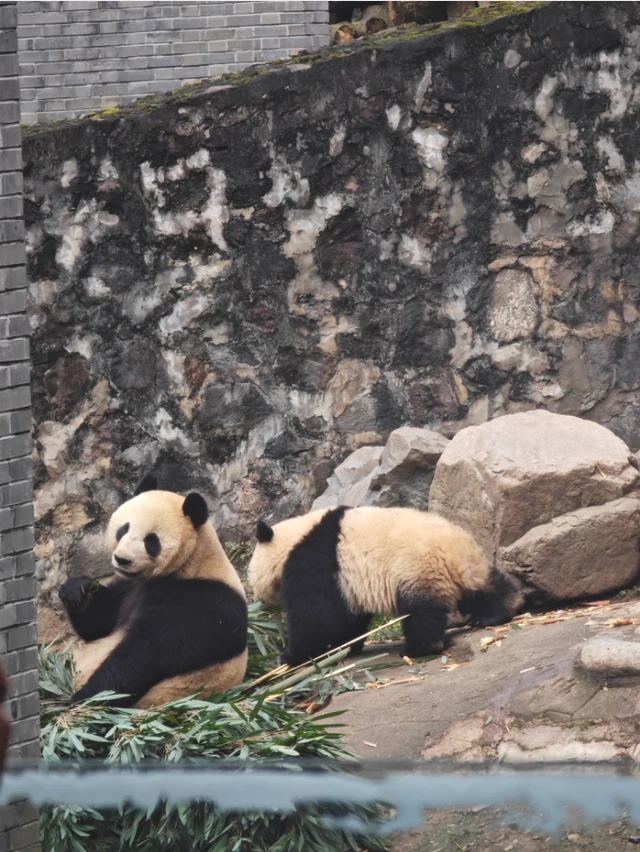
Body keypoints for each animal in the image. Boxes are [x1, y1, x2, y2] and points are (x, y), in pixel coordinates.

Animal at [58, 474, 248, 709]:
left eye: (151, 540)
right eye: (124, 529)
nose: (122, 559)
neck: (190, 563)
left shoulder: (197, 602)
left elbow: (143, 655)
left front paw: (84, 698)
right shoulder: (129, 586)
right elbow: (99, 624)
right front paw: (77, 591)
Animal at [247, 505, 523, 667]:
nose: (258, 602)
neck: (292, 541)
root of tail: (453, 554)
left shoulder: (317, 564)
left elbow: (315, 618)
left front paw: (289, 656)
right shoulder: (346, 582)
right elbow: (348, 618)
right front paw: (346, 646)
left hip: (417, 570)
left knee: (421, 615)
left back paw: (419, 648)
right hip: (470, 567)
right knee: (484, 589)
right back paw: (498, 612)